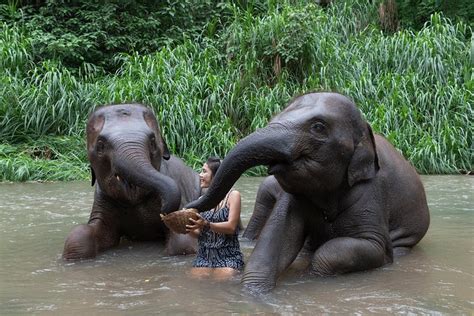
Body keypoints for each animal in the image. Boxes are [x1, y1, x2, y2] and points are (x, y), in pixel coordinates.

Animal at [62, 103, 199, 260]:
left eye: (152, 141)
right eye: (101, 144)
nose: (163, 211)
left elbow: (182, 242)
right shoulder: (102, 199)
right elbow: (82, 236)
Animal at [187, 92, 432, 294]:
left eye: (318, 127)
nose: (187, 207)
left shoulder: (371, 191)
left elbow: (368, 248)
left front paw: (308, 277)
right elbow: (276, 239)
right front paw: (253, 294)